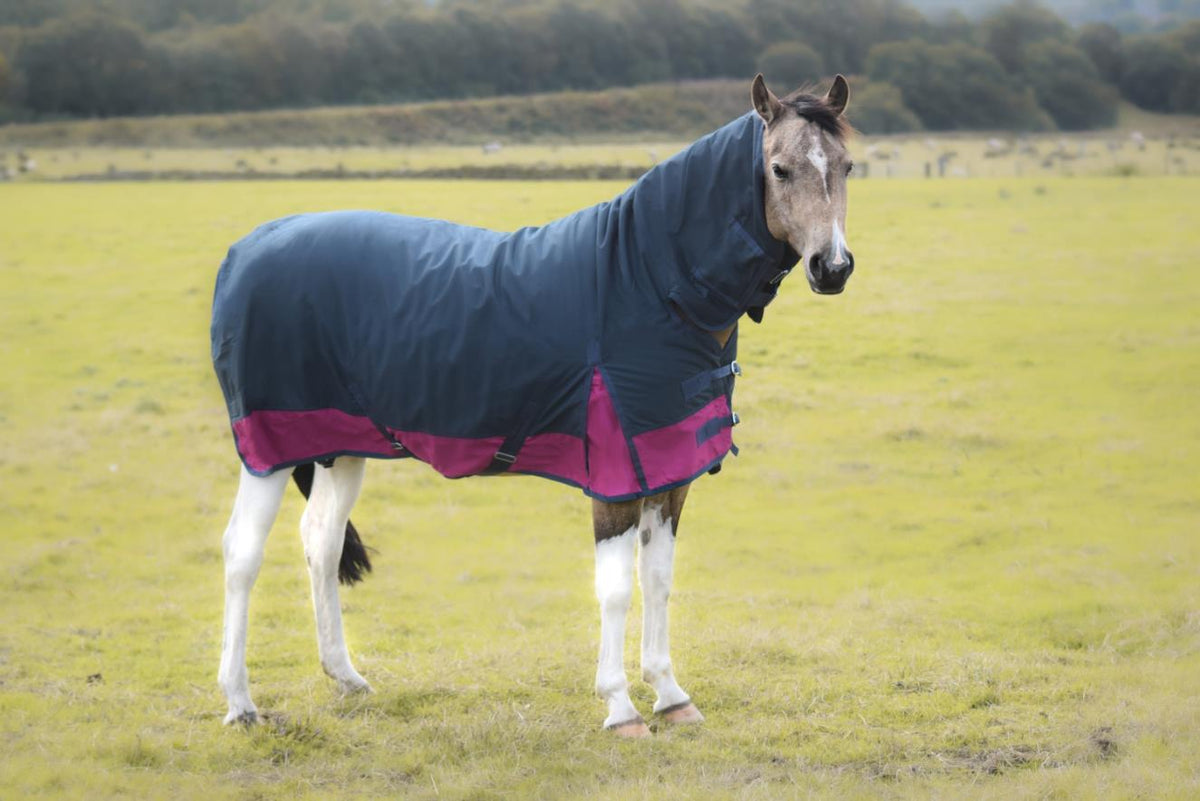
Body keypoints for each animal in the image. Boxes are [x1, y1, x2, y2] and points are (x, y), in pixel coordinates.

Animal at [212, 74, 854, 736]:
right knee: (242, 553)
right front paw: (620, 707)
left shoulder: (669, 471)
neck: (648, 284)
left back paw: (346, 678)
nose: (832, 268)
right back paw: (240, 703)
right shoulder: (617, 475)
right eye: (778, 169)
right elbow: (616, 587)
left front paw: (671, 696)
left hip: (340, 447)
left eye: (847, 166)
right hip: (268, 451)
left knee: (321, 539)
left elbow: (659, 579)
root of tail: (247, 249)